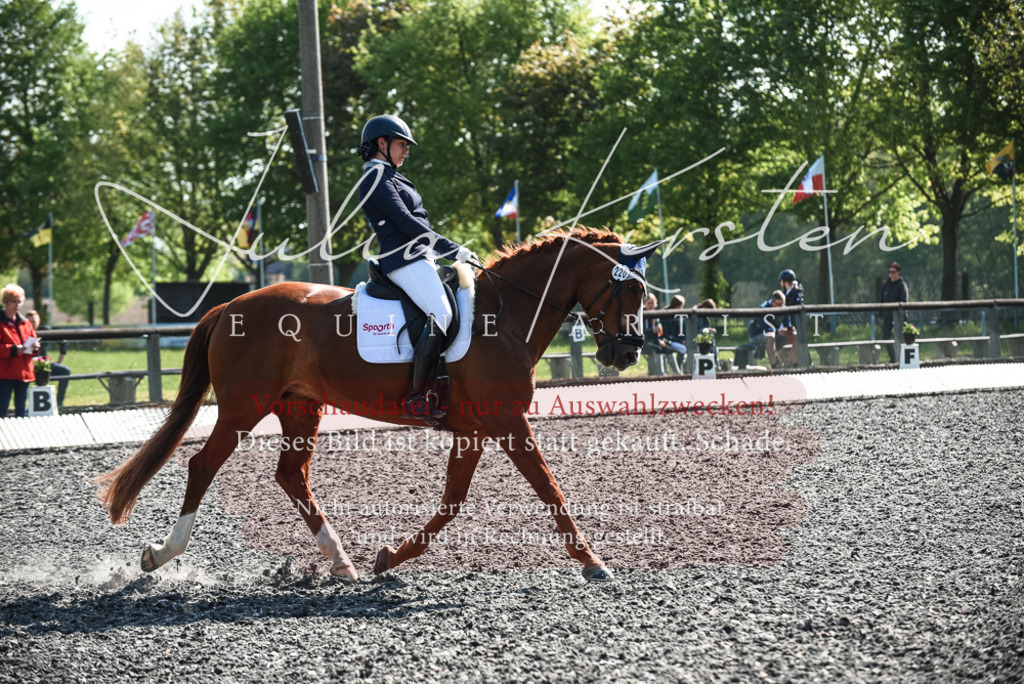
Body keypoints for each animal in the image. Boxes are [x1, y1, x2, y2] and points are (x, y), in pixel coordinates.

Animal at [94, 228, 664, 582]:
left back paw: (341, 560)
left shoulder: (475, 429)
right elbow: (549, 487)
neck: (503, 317)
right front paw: (592, 560)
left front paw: (390, 557)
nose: (628, 352)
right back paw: (161, 555)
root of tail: (229, 304)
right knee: (202, 464)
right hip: (241, 408)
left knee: (291, 475)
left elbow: (453, 500)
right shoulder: (506, 421)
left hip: (299, 407)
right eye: (630, 289)